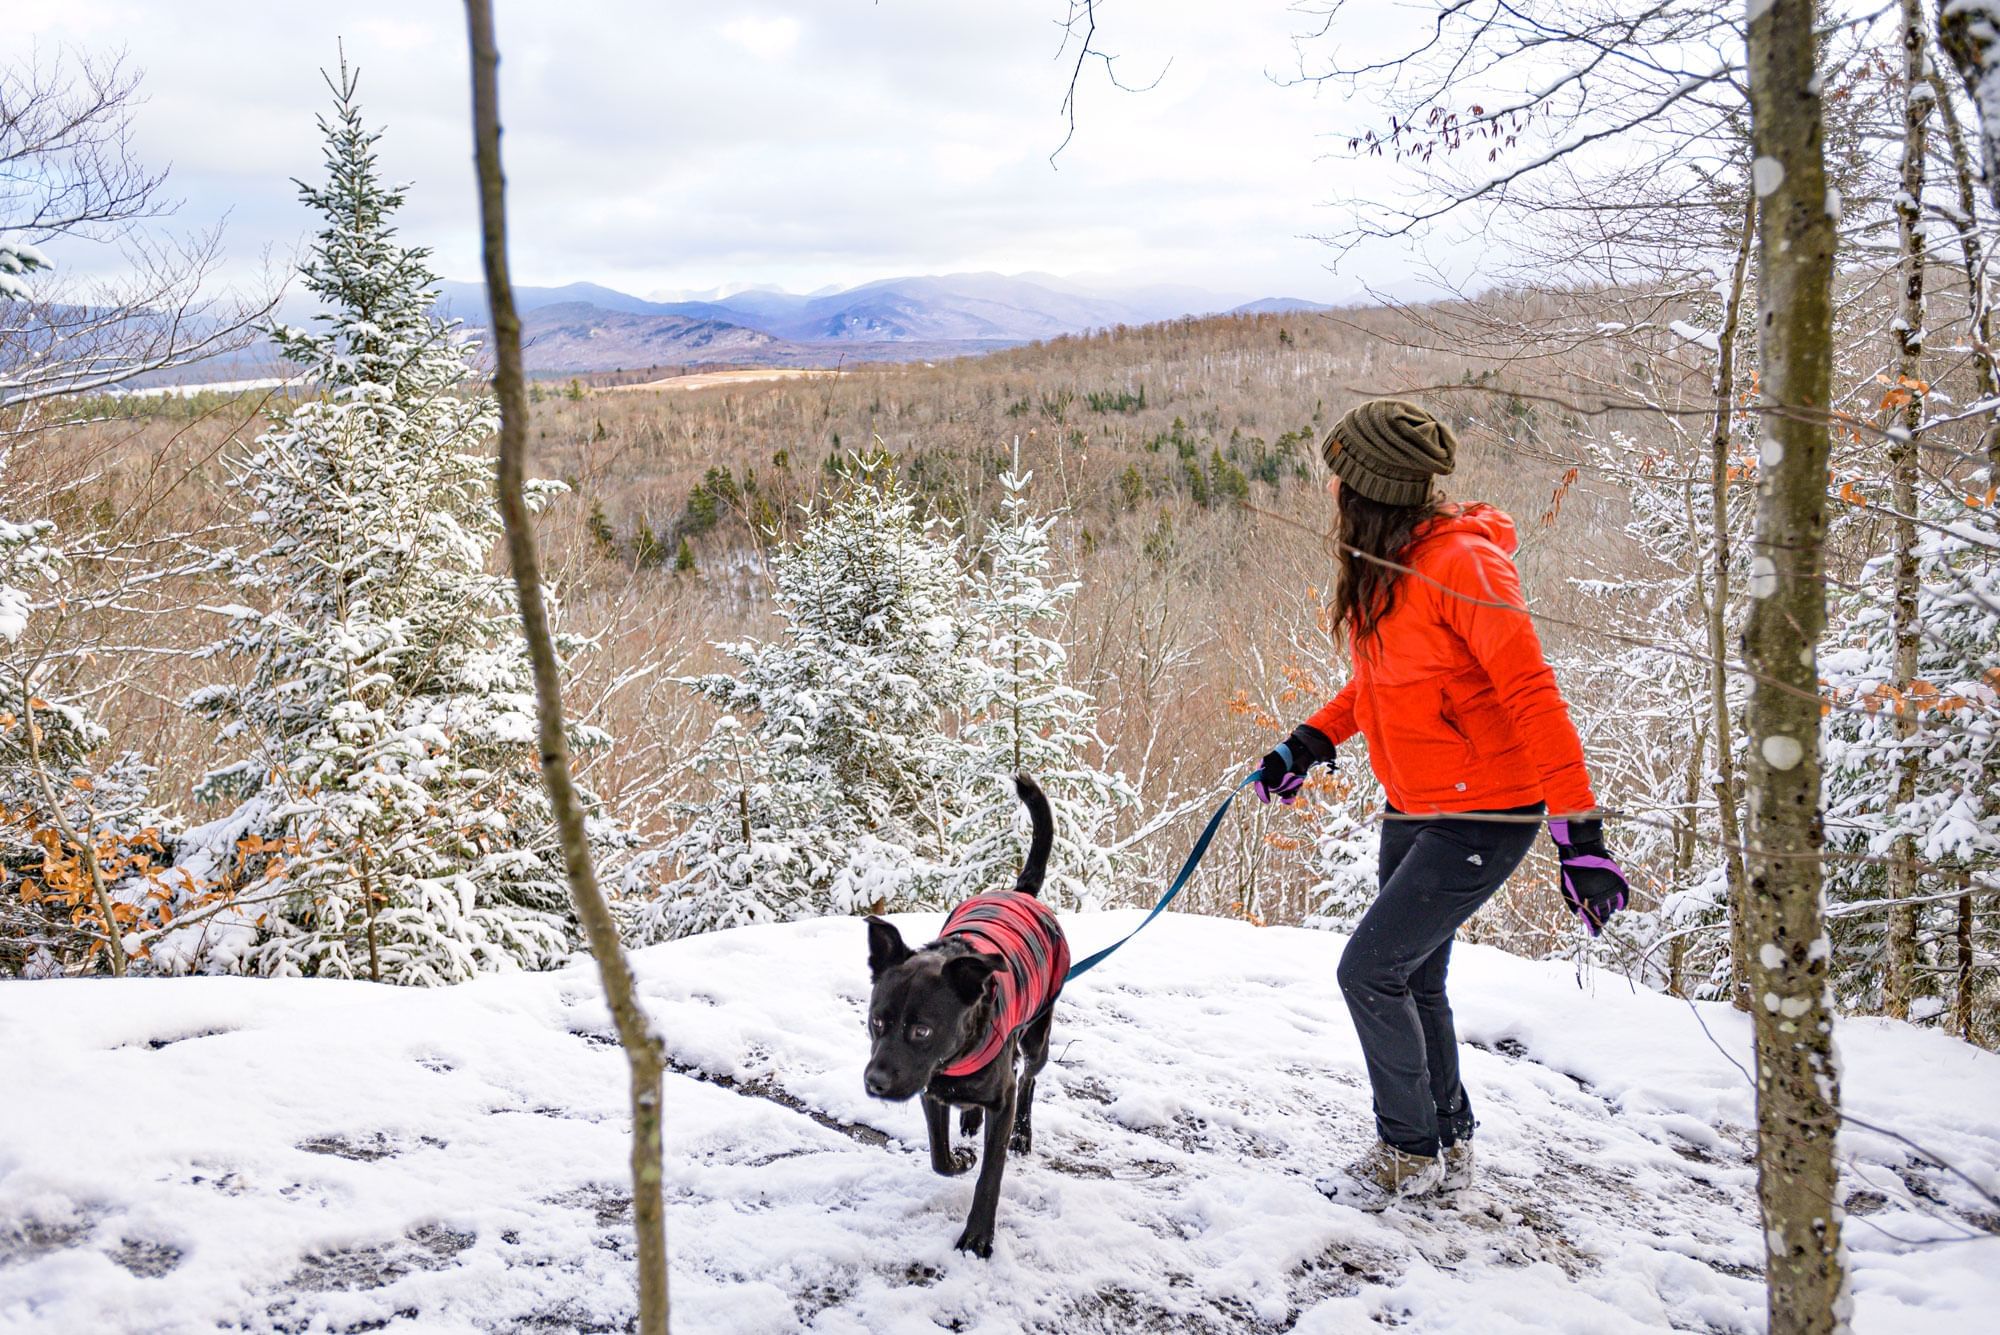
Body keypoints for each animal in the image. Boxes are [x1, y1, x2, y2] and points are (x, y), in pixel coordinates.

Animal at [864, 775, 1072, 1255]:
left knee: (1030, 1078)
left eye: (922, 1030)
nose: (875, 1082)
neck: (958, 1055)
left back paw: (1023, 1133)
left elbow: (990, 1175)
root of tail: (1020, 891)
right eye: (876, 1022)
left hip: (1038, 1036)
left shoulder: (1000, 1097)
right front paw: (959, 1156)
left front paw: (978, 1236)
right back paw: (970, 1119)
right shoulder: (929, 1087)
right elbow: (939, 1156)